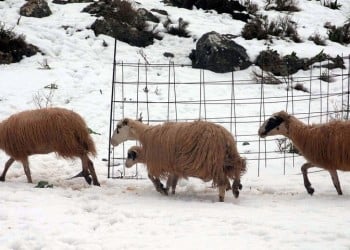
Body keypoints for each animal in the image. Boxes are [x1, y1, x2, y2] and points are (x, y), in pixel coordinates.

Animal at [112, 118, 246, 202]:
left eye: (118, 128)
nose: (111, 142)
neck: (147, 134)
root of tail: (225, 137)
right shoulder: (172, 165)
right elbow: (171, 182)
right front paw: (167, 190)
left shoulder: (159, 162)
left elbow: (151, 176)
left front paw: (160, 188)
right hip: (227, 159)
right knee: (238, 166)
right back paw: (236, 188)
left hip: (213, 163)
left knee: (222, 182)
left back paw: (222, 198)